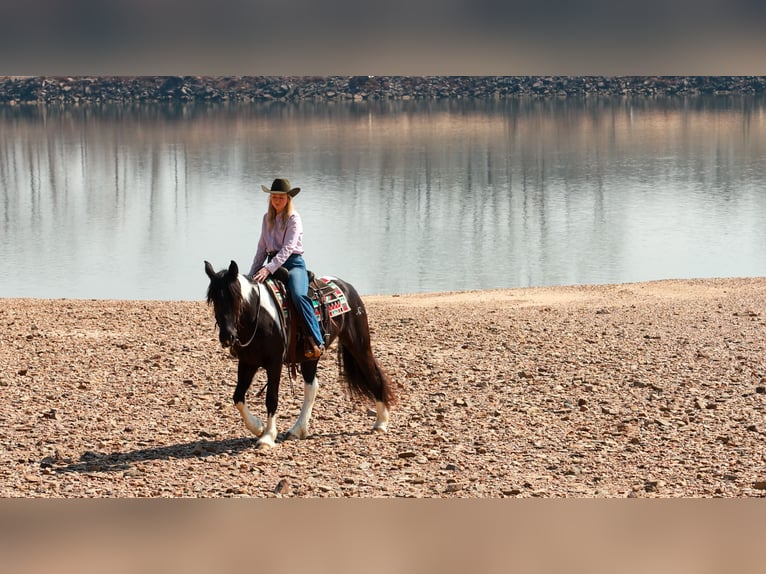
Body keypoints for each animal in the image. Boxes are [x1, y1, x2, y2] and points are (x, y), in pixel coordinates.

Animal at [204, 260, 396, 449]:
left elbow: (271, 398)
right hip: (310, 357)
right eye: (214, 299)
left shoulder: (274, 363)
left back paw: (380, 423)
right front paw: (258, 427)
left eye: (236, 297)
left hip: (358, 345)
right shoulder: (247, 362)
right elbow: (238, 397)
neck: (259, 318)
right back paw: (297, 430)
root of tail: (347, 287)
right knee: (311, 387)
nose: (227, 337)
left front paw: (267, 437)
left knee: (373, 375)